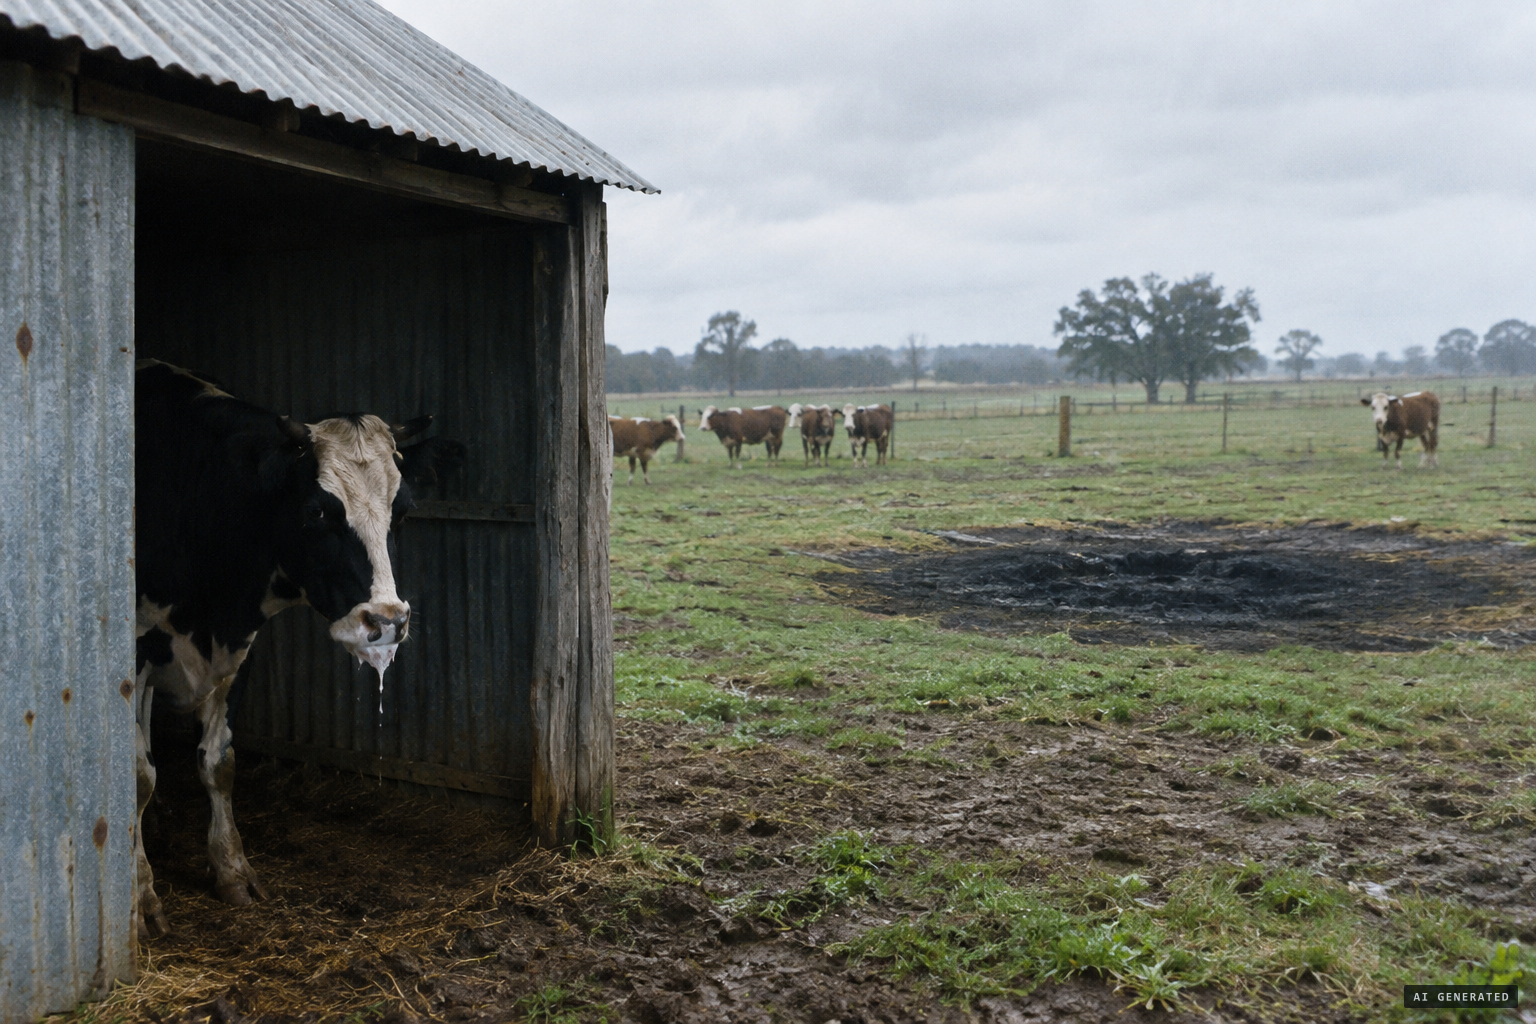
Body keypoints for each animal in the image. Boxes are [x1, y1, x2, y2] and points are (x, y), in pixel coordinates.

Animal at [131, 360, 464, 938]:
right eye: (317, 512)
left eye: (402, 510)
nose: (387, 620)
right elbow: (138, 775)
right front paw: (142, 896)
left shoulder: (238, 649)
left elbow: (218, 763)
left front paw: (233, 870)